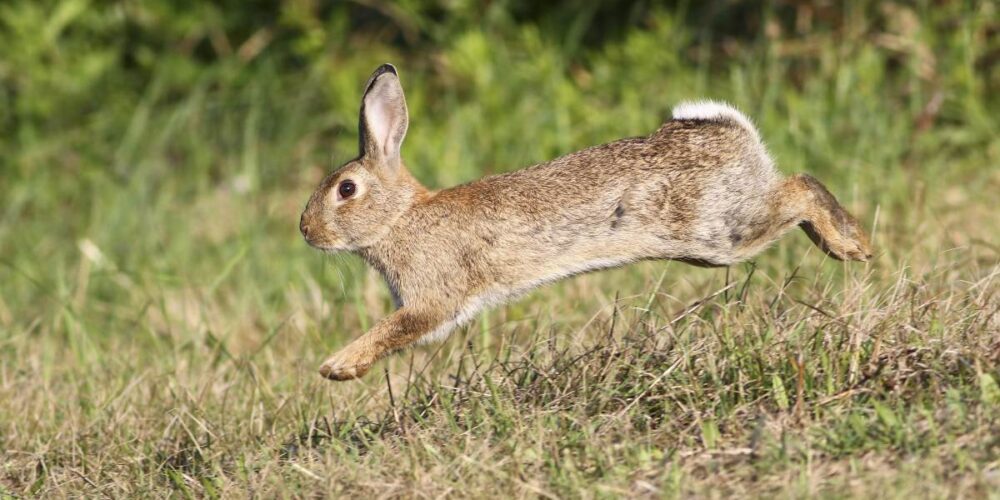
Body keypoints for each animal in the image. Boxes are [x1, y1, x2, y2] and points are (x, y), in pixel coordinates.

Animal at [300, 64, 872, 380]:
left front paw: (337, 367)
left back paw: (851, 245)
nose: (306, 232)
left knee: (799, 188)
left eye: (346, 190)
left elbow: (396, 329)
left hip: (718, 232)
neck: (400, 217)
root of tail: (730, 132)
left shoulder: (432, 297)